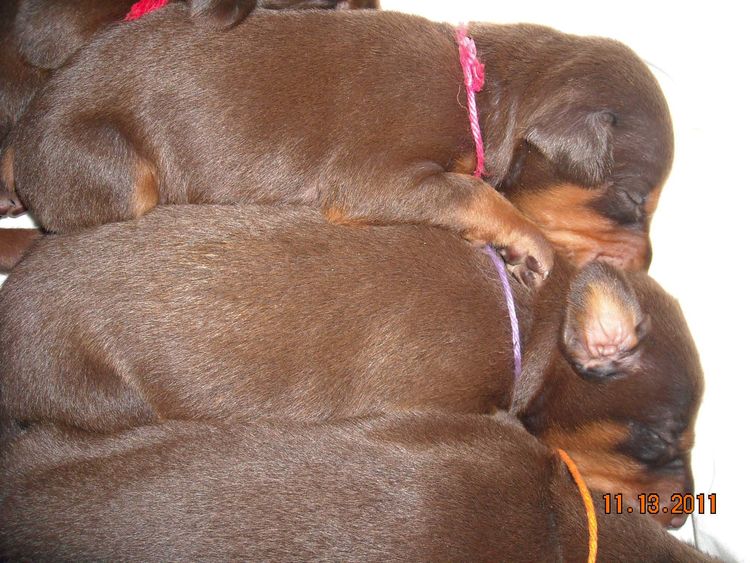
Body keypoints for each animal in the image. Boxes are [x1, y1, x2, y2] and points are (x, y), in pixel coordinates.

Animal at [2, 7, 676, 284]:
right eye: (632, 201)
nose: (647, 268)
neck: (484, 93)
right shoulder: (374, 177)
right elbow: (474, 192)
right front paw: (528, 243)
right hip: (113, 168)